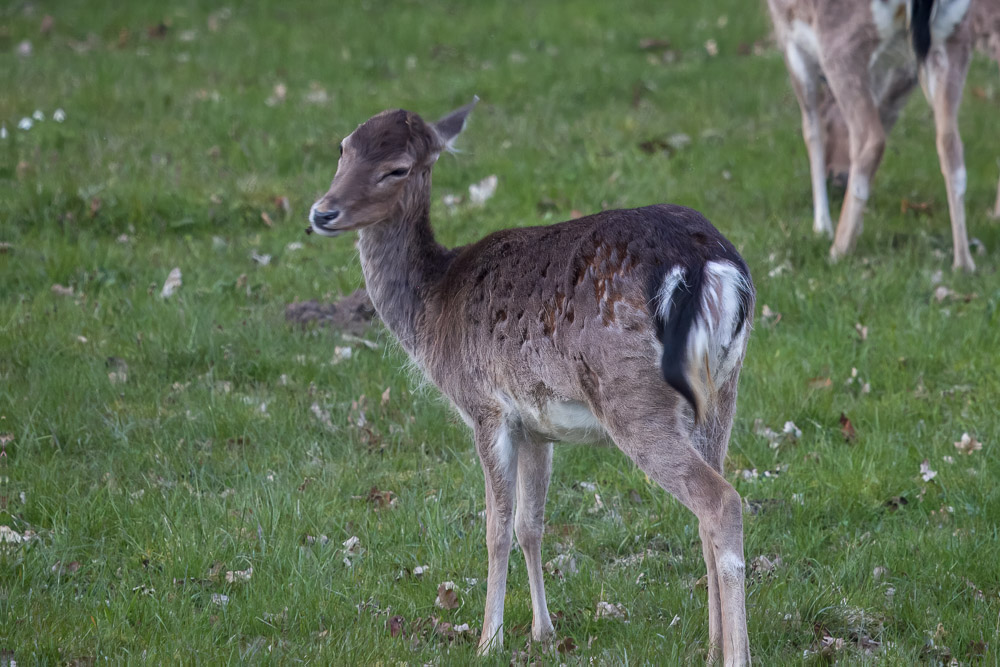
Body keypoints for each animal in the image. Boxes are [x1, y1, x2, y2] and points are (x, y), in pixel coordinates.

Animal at [308, 100, 752, 667]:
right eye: (344, 147)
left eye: (397, 169)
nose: (323, 213)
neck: (433, 310)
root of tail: (710, 268)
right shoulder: (538, 424)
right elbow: (530, 524)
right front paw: (542, 630)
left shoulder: (485, 407)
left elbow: (496, 527)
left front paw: (487, 639)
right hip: (721, 391)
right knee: (706, 506)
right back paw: (713, 644)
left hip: (633, 398)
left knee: (720, 500)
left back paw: (734, 652)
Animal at [768, 0, 980, 272]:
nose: (835, 175)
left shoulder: (788, 38)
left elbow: (812, 128)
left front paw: (822, 227)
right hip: (953, 37)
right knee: (950, 143)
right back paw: (963, 264)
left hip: (843, 44)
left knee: (871, 138)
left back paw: (837, 250)